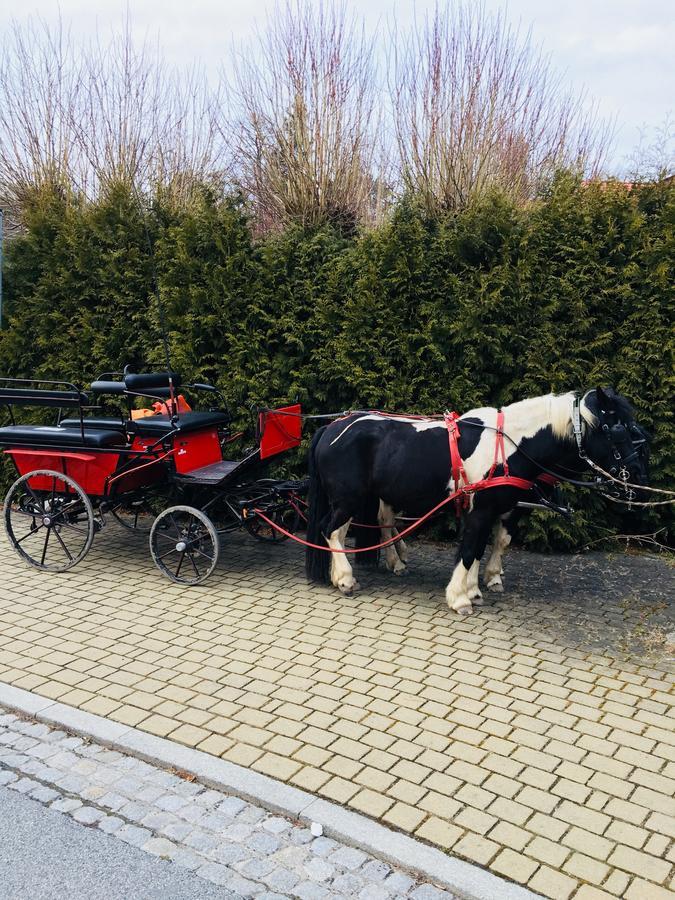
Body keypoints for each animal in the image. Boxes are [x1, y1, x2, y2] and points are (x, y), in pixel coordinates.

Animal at [304, 390, 648, 616]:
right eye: (616, 428)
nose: (638, 477)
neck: (509, 445)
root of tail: (332, 428)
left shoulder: (493, 510)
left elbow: (484, 547)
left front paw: (475, 589)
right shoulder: (481, 511)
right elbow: (470, 551)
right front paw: (460, 599)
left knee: (366, 527)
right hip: (348, 500)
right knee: (331, 531)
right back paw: (345, 579)